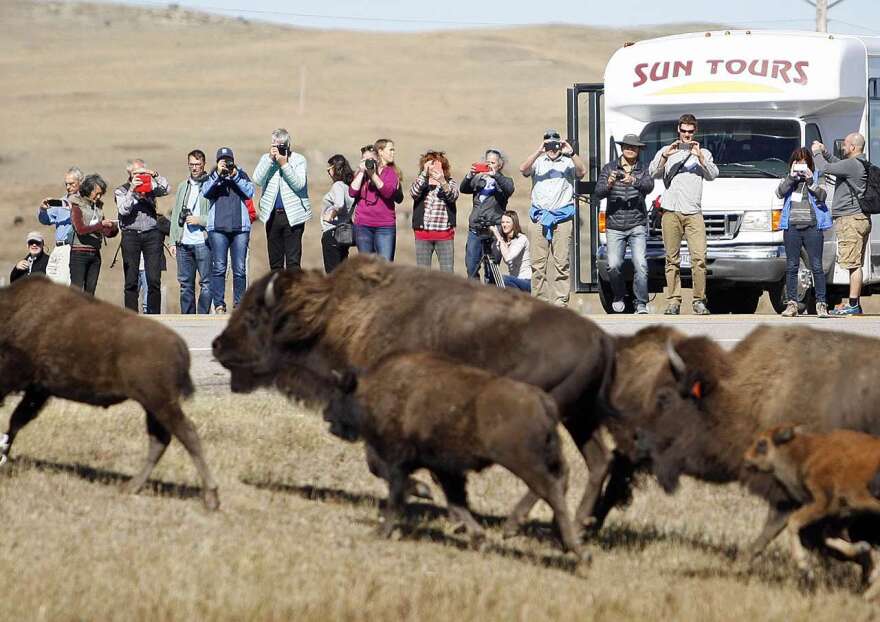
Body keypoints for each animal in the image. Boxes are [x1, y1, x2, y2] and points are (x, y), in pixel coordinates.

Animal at [0, 278, 219, 512]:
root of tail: (180, 346)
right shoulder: (38, 390)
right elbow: (16, 422)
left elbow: (14, 420)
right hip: (152, 406)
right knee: (161, 440)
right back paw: (131, 487)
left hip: (159, 402)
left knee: (187, 435)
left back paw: (211, 497)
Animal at [213, 258, 616, 536]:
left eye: (253, 318)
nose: (218, 345)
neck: (337, 317)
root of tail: (601, 338)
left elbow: (380, 463)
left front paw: (421, 492)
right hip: (577, 419)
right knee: (597, 462)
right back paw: (578, 525)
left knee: (556, 472)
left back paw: (515, 524)